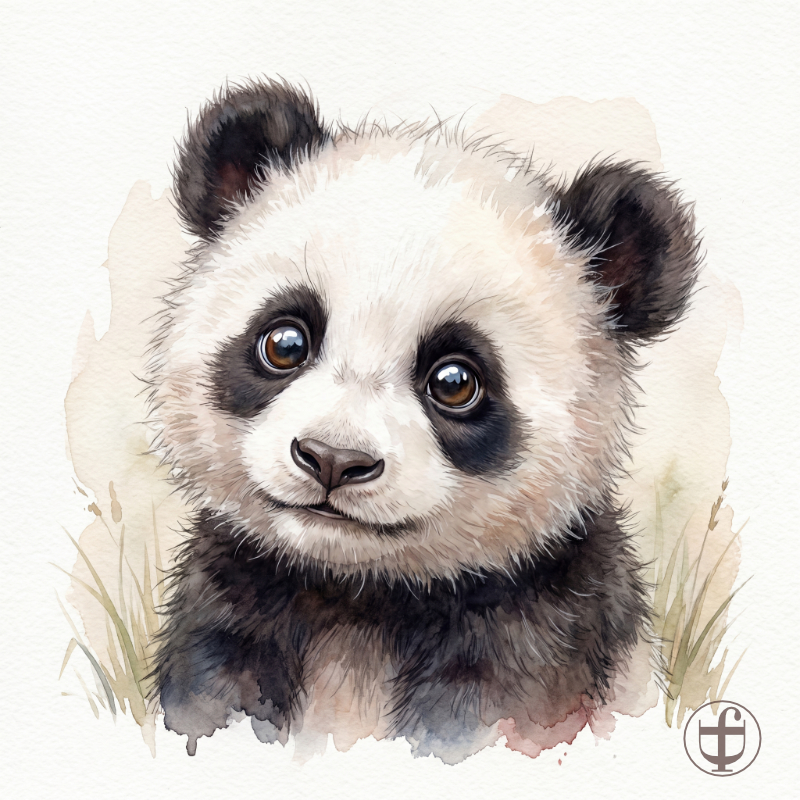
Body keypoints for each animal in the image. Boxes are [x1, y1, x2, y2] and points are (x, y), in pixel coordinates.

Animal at [147, 79, 699, 761]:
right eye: (284, 342)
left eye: (454, 381)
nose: (333, 459)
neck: (359, 600)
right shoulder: (231, 616)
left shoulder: (539, 638)